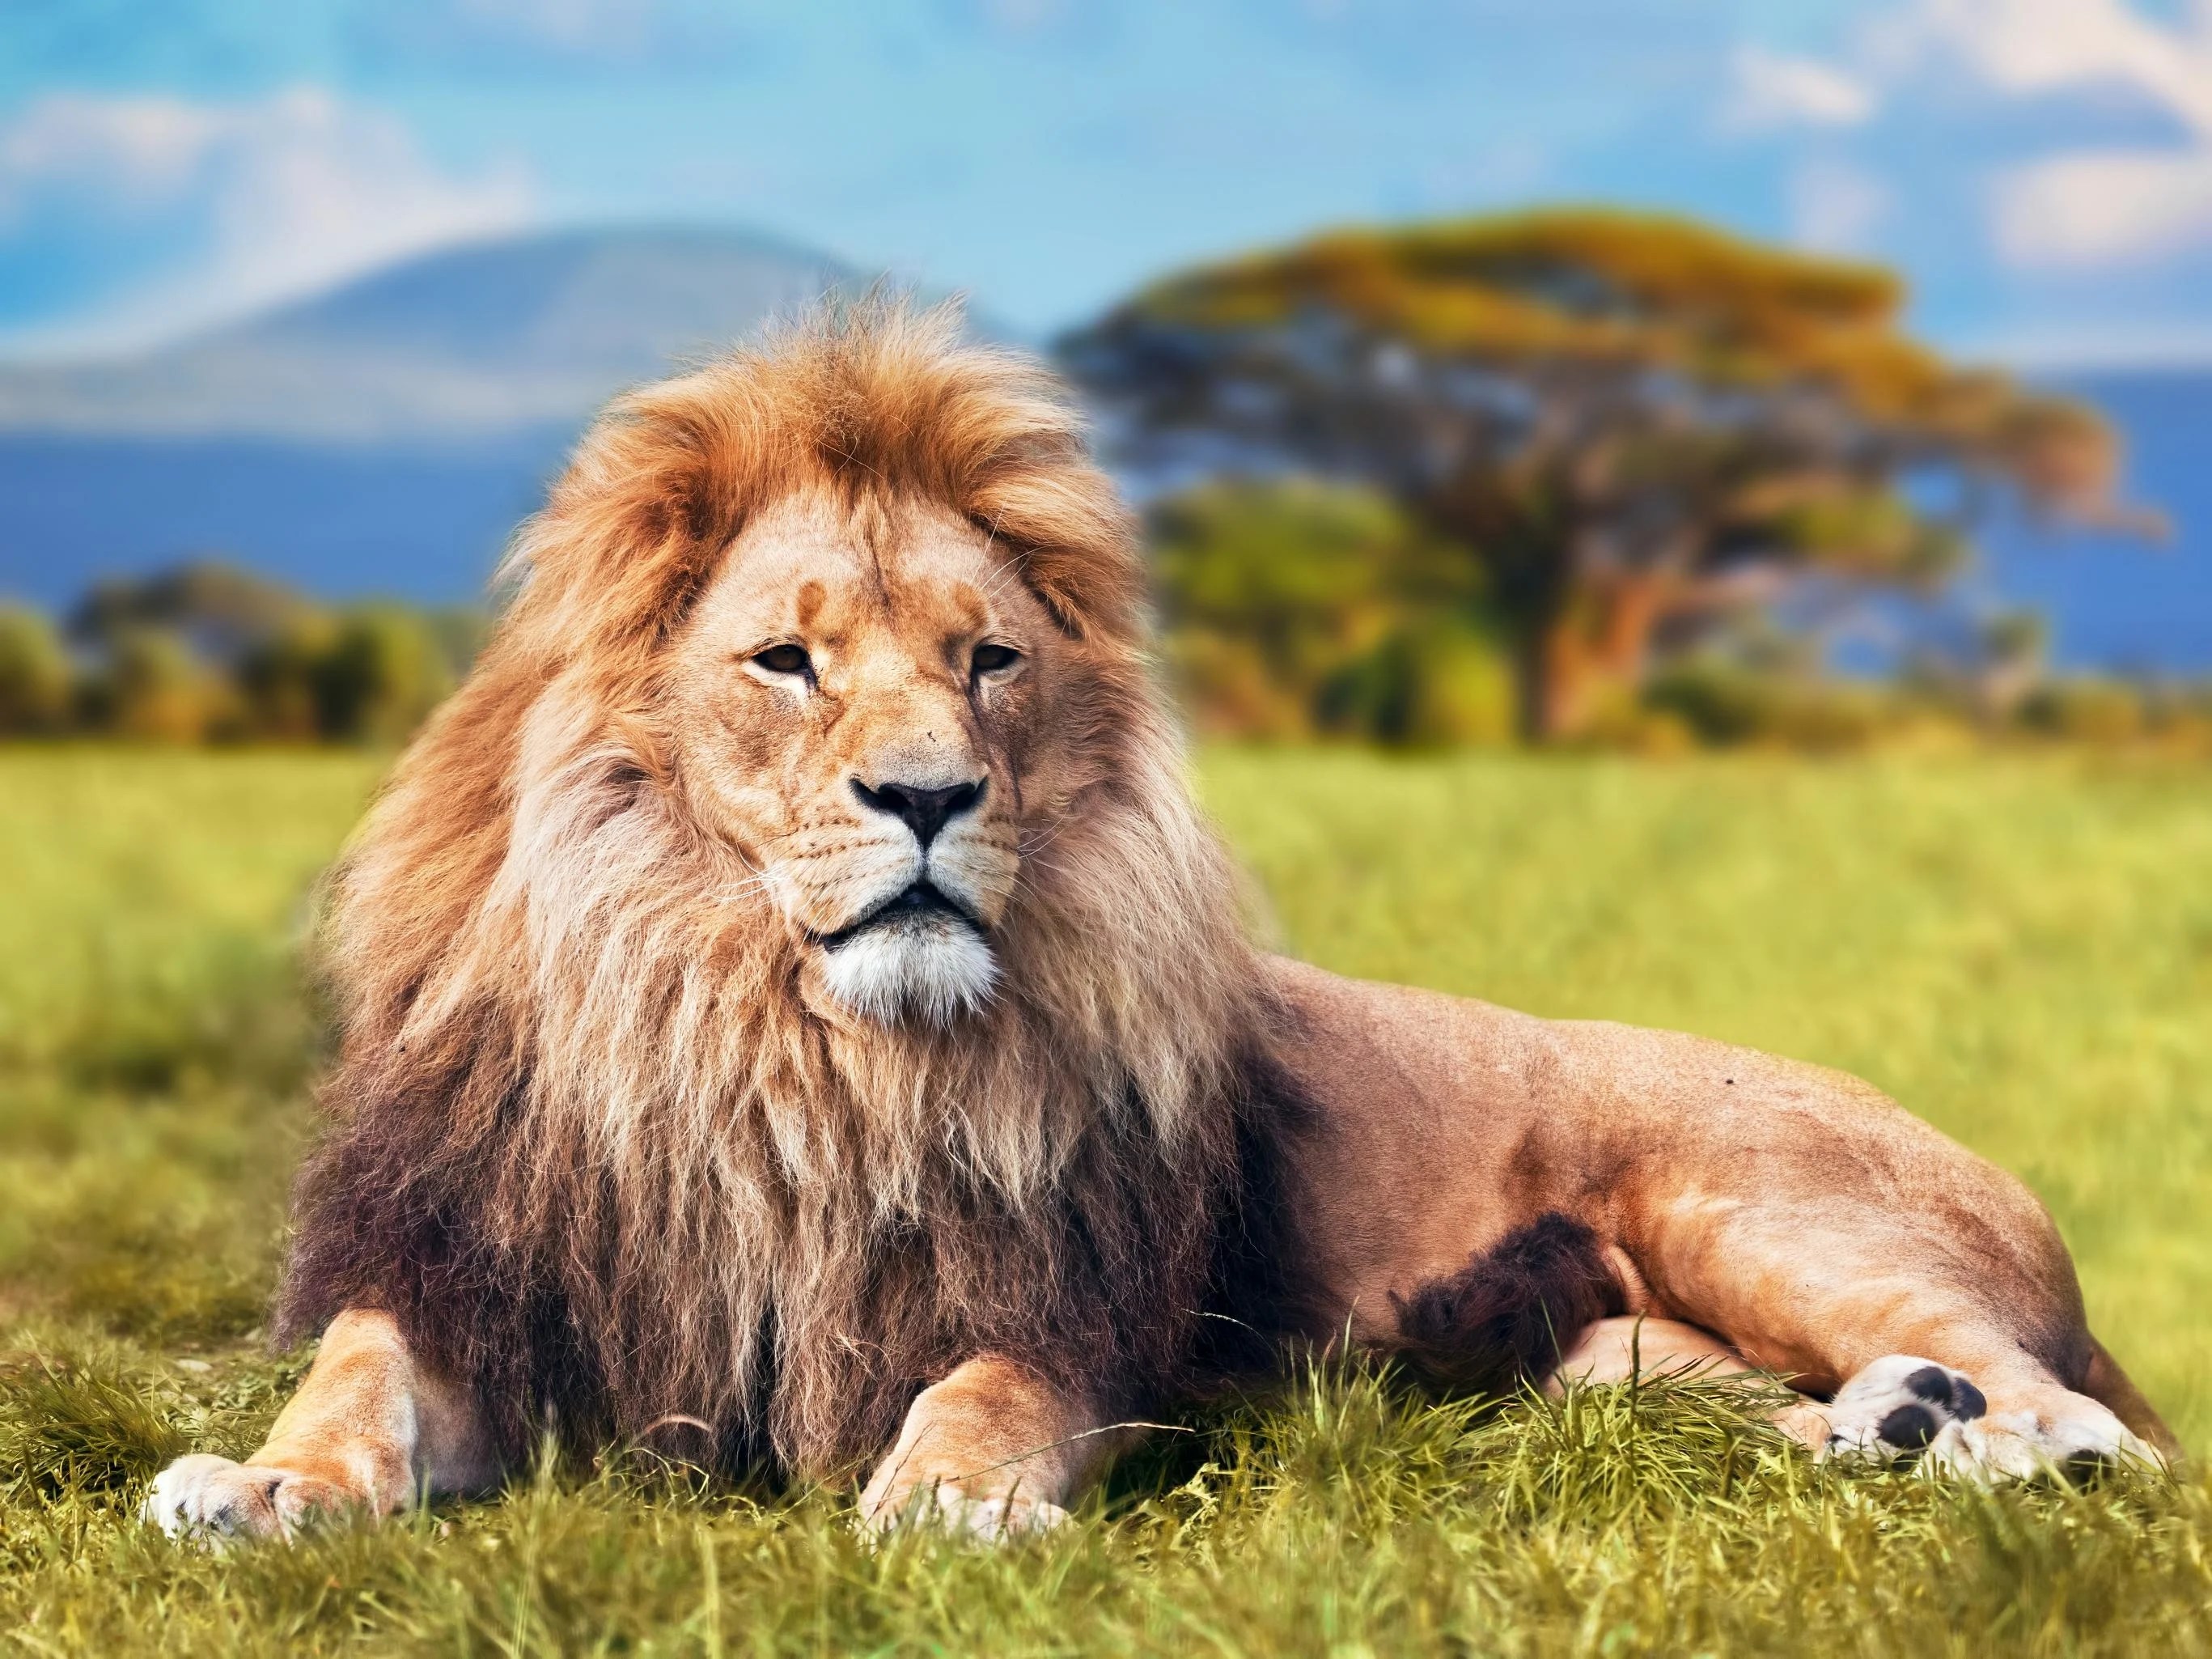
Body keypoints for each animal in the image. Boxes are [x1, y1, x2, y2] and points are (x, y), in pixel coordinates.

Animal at [146, 302, 2175, 1544]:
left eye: (985, 660)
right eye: (787, 660)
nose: (928, 797)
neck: (773, 1043)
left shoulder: (1063, 1307)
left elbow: (981, 1392)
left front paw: (951, 1500)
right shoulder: (478, 1268)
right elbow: (353, 1379)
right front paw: (257, 1485)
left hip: (1748, 1200)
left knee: (2084, 1419)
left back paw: (1980, 1437)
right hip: (1604, 1355)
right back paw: (1884, 1427)